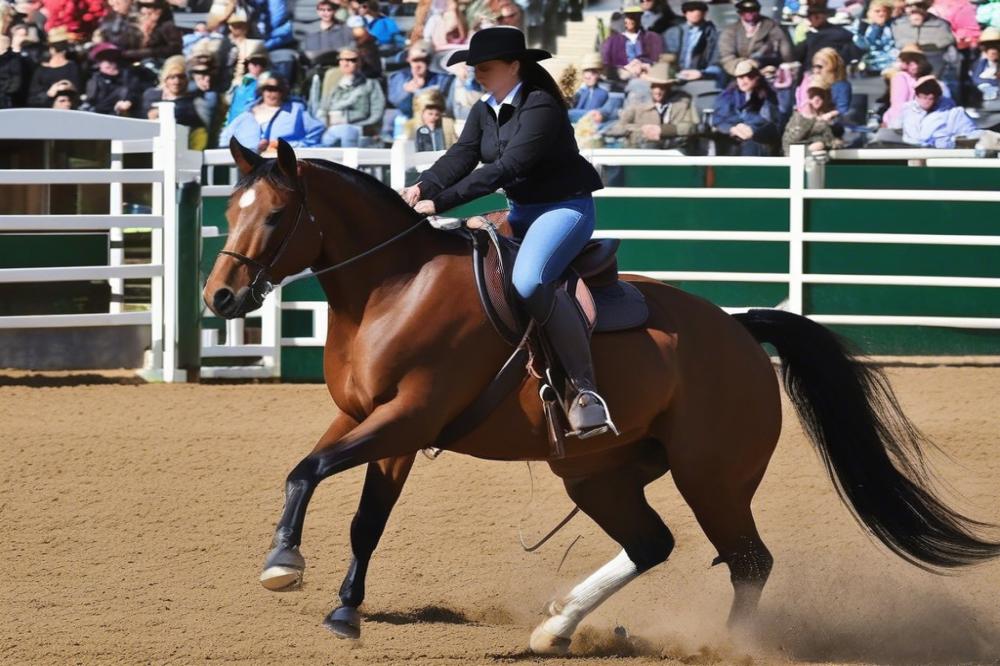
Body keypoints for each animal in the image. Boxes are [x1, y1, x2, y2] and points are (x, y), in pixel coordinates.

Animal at [203, 137, 1000, 652]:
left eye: (272, 216)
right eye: (230, 209)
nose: (220, 298)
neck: (394, 289)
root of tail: (740, 330)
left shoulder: (407, 417)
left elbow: (311, 474)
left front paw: (285, 565)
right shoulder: (373, 421)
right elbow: (355, 510)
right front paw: (339, 607)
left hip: (712, 478)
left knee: (749, 562)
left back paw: (728, 645)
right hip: (597, 475)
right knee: (652, 543)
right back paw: (556, 626)